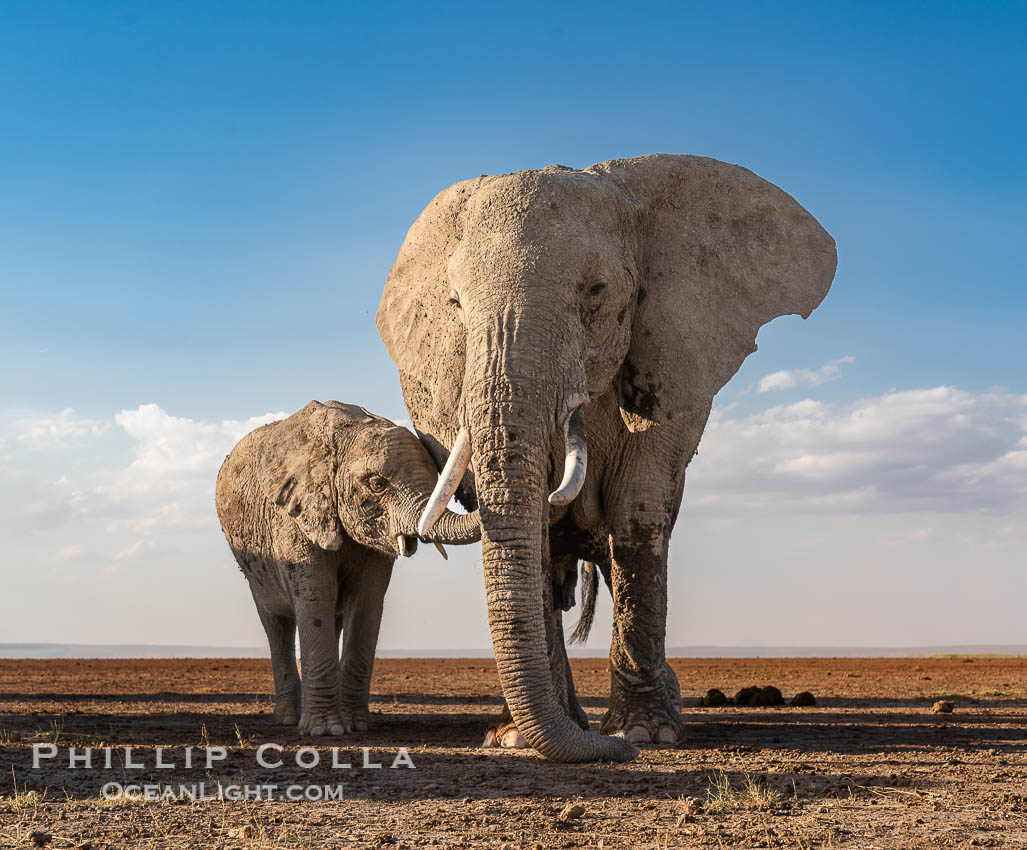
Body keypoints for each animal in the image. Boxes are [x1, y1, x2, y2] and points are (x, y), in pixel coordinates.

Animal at [214, 402, 478, 735]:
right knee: (276, 625)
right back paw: (287, 718)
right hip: (255, 570)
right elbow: (315, 597)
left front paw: (356, 725)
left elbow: (366, 600)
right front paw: (325, 731)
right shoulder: (294, 517)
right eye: (377, 484)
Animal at [375, 153, 833, 763]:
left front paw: (644, 735)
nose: (620, 751)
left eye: (595, 290)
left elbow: (637, 512)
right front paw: (523, 739)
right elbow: (538, 534)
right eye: (454, 305)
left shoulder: (670, 365)